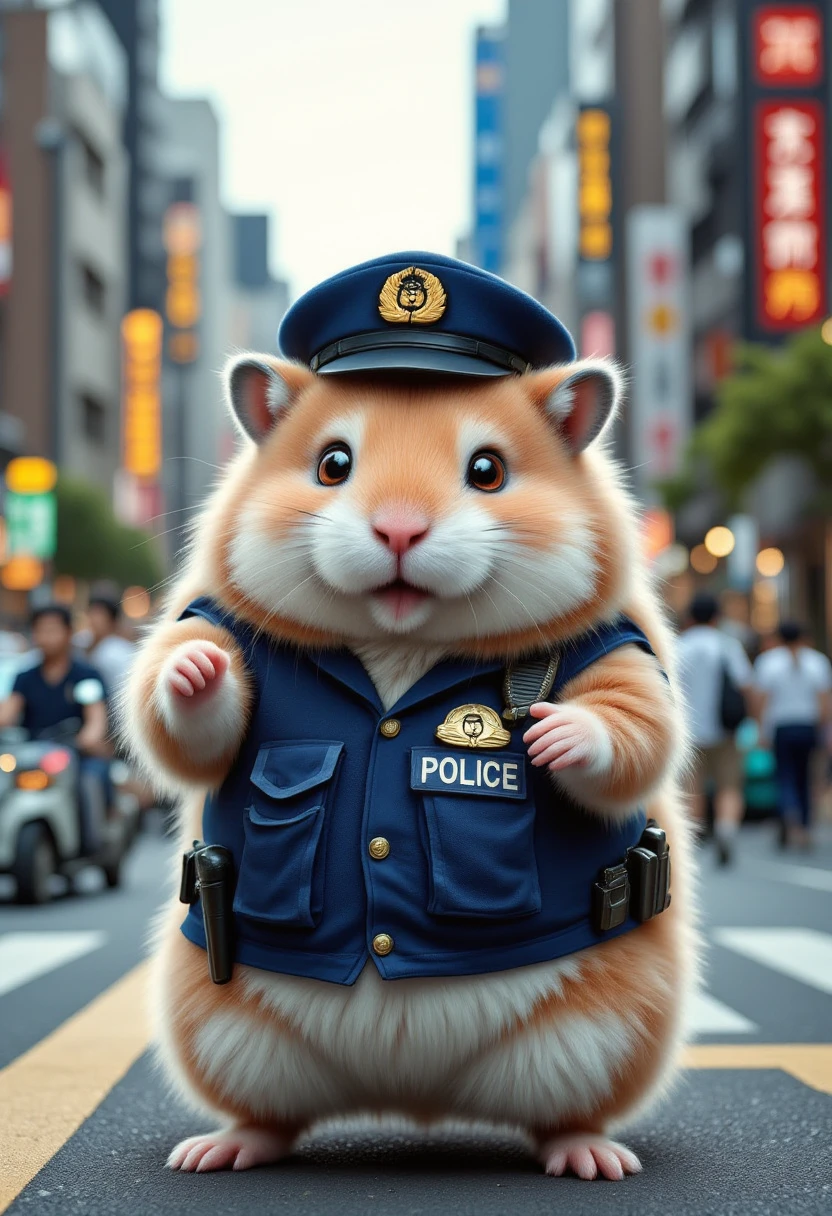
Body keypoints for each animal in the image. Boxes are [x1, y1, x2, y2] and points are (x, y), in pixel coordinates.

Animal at [123, 254, 695, 1177]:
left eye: (488, 471)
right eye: (332, 463)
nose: (397, 530)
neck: (400, 643)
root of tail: (418, 1098)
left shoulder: (622, 652)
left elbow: (635, 729)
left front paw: (556, 732)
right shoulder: (212, 647)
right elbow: (191, 733)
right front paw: (195, 668)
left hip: (605, 1027)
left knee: (571, 1108)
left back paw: (587, 1155)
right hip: (217, 1022)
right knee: (266, 1111)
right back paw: (224, 1147)